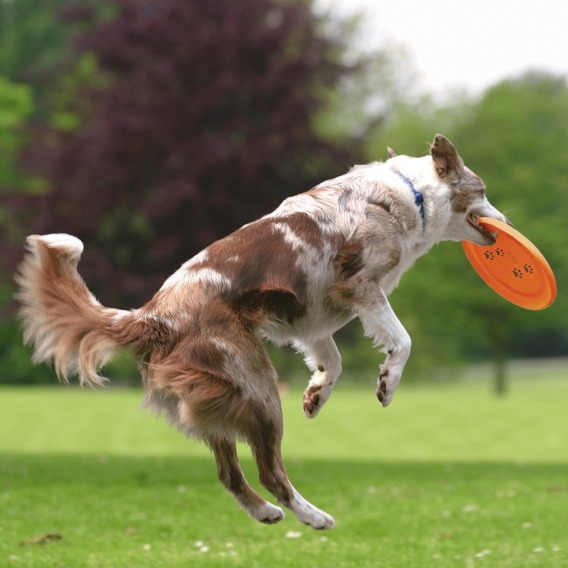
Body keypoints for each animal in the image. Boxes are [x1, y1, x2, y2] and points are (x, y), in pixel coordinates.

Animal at [15, 133, 508, 528]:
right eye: (482, 191)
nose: (504, 224)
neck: (410, 194)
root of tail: (152, 318)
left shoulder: (314, 316)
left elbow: (333, 361)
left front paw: (316, 395)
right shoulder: (360, 286)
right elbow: (402, 340)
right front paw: (386, 384)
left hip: (220, 397)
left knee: (228, 473)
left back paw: (267, 513)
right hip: (257, 386)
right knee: (270, 470)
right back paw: (313, 516)